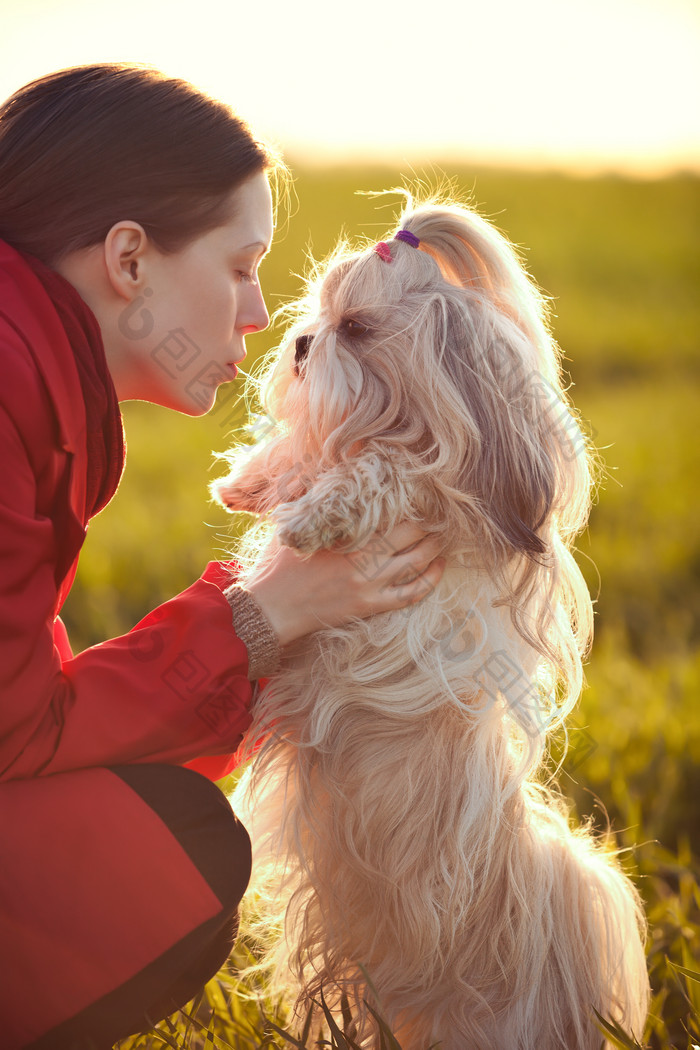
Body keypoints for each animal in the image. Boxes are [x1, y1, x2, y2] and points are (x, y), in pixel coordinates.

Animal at [215, 197, 650, 1050]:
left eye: (356, 328)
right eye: (318, 317)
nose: (302, 342)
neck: (395, 418)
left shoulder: (452, 503)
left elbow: (394, 473)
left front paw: (317, 510)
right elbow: (311, 456)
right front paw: (255, 478)